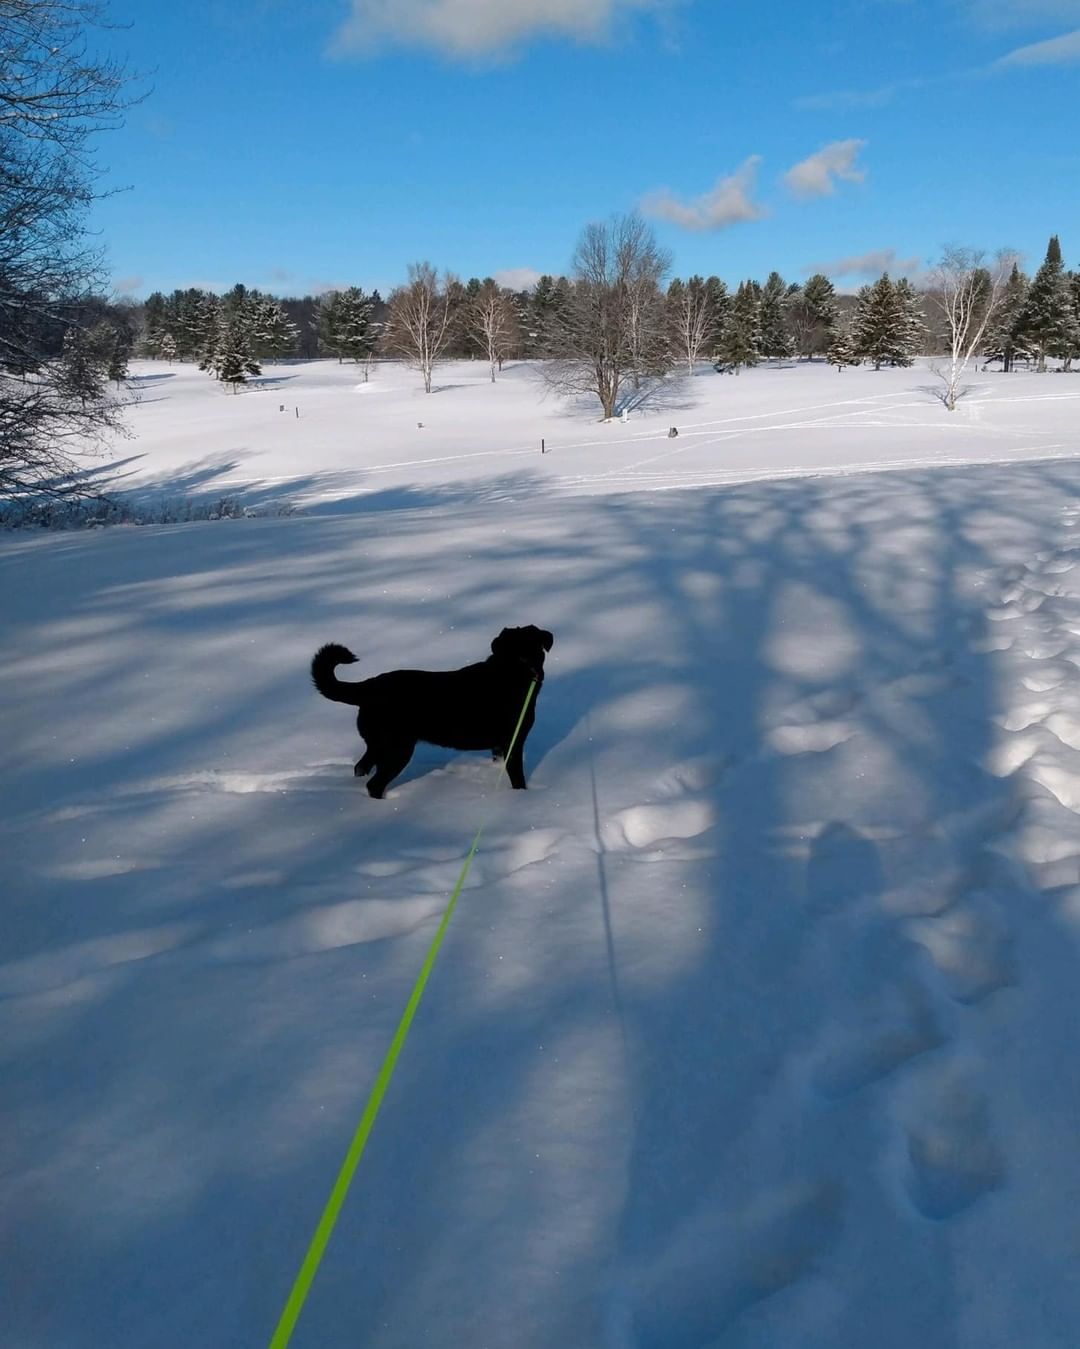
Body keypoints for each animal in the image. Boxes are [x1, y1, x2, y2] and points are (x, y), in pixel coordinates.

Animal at [307, 625, 552, 793]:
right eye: (519, 656)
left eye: (535, 651)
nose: (536, 673)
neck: (509, 674)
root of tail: (369, 686)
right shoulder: (513, 741)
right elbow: (518, 779)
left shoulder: (499, 746)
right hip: (398, 749)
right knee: (374, 784)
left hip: (378, 745)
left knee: (361, 767)